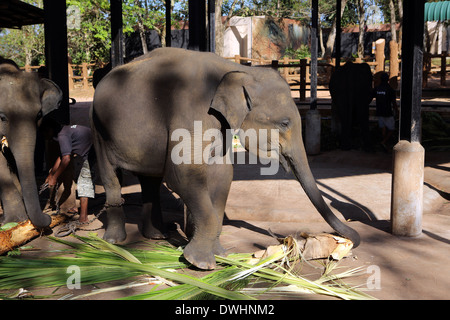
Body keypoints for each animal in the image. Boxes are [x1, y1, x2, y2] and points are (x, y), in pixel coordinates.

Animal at [91, 47, 358, 270]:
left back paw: (156, 235)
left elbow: (222, 174)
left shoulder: (221, 122)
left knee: (150, 181)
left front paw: (221, 256)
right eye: (284, 123)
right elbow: (182, 174)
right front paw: (201, 264)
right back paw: (115, 241)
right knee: (111, 177)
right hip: (99, 129)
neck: (237, 70)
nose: (349, 239)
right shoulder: (190, 111)